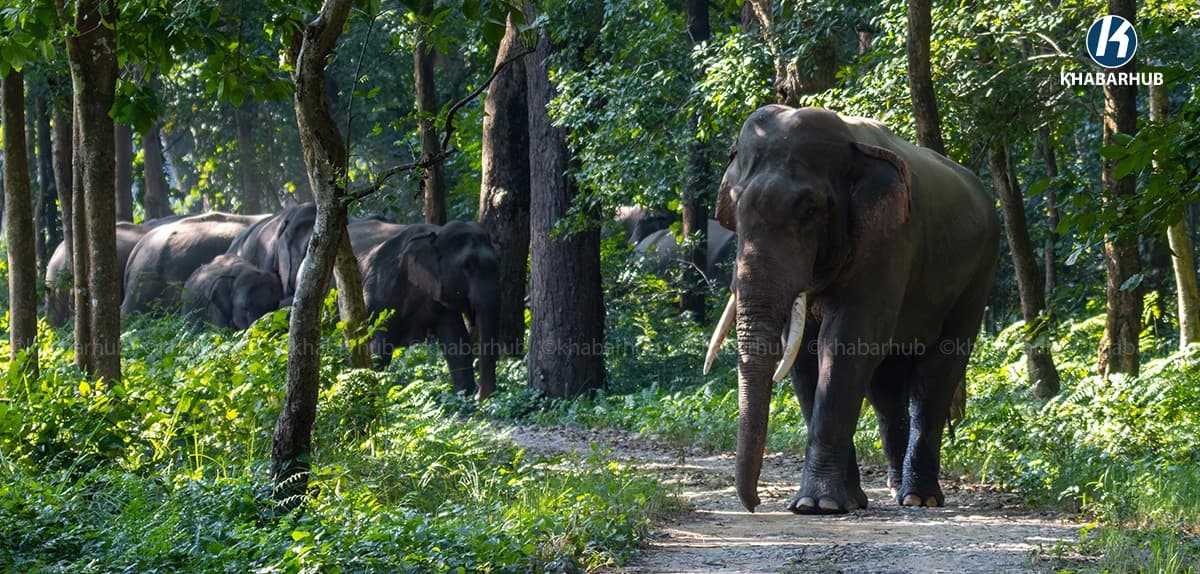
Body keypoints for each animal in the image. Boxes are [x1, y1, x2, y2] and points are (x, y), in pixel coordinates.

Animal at [356, 220, 501, 400]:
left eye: (499, 261)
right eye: (467, 265)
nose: (478, 395)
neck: (435, 234)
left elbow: (457, 345)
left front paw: (463, 397)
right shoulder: (379, 294)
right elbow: (378, 350)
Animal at [704, 105, 998, 515]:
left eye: (810, 209)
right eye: (734, 205)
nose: (755, 503)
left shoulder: (889, 241)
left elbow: (845, 341)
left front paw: (819, 504)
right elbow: (804, 354)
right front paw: (839, 501)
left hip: (979, 273)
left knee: (938, 372)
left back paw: (920, 498)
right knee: (886, 387)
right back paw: (896, 488)